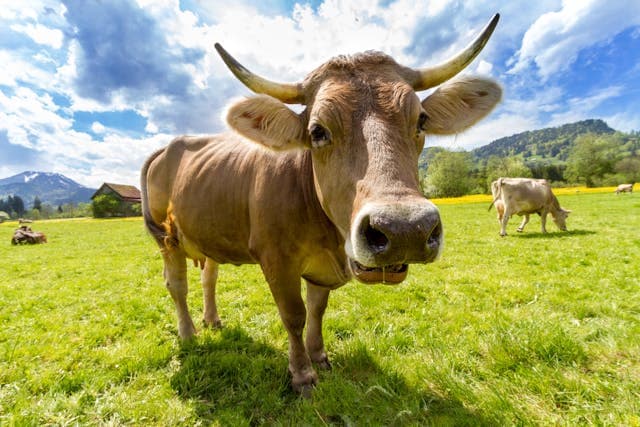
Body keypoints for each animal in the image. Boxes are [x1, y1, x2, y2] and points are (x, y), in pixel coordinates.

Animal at [142, 14, 502, 394]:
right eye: (317, 131)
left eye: (421, 120)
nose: (405, 229)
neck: (327, 236)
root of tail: (171, 145)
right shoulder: (276, 260)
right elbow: (294, 315)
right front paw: (302, 374)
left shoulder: (320, 269)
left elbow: (317, 310)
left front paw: (320, 357)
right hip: (167, 238)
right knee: (177, 285)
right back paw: (188, 333)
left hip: (207, 233)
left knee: (208, 277)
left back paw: (212, 320)